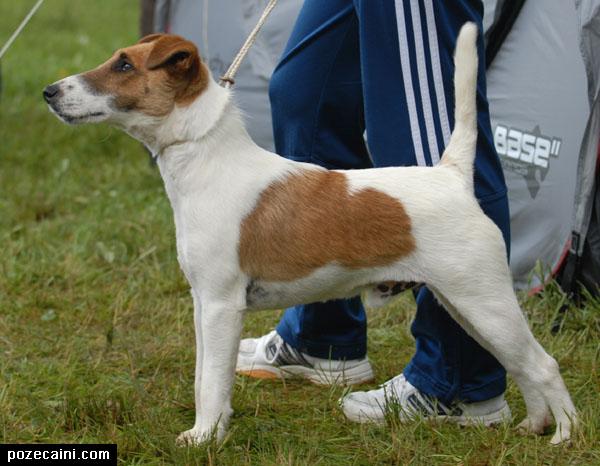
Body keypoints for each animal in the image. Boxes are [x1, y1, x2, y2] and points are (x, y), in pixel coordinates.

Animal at [44, 23, 576, 446]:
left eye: (124, 64)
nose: (49, 91)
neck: (209, 158)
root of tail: (452, 177)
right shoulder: (202, 304)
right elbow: (202, 375)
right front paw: (208, 429)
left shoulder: (221, 305)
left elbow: (213, 382)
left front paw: (203, 438)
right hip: (466, 306)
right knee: (519, 364)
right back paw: (532, 425)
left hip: (482, 299)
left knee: (543, 364)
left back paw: (565, 436)